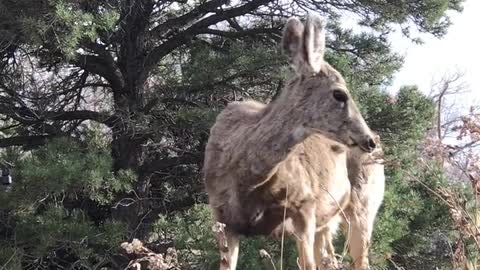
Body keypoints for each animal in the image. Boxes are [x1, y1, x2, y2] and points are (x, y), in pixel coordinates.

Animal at [203, 13, 378, 270]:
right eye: (339, 94)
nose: (369, 140)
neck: (246, 179)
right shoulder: (223, 218)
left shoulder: (305, 205)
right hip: (329, 223)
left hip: (363, 208)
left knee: (360, 260)